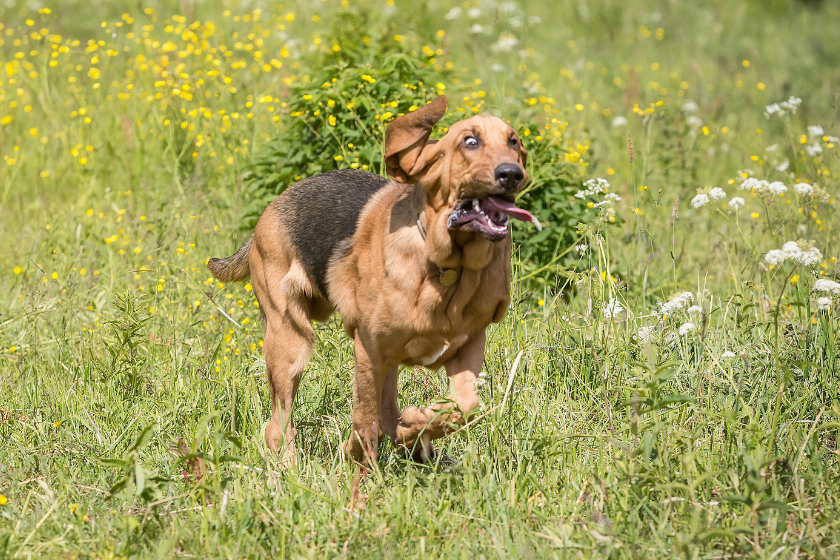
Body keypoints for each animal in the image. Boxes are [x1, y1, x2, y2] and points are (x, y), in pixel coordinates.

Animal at [210, 97, 540, 464]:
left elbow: (463, 408)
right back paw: (290, 467)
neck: (448, 267)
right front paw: (362, 452)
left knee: (387, 411)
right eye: (470, 141)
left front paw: (417, 425)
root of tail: (271, 208)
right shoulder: (368, 350)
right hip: (290, 344)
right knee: (278, 426)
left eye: (514, 142)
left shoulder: (467, 346)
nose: (511, 174)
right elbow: (366, 419)